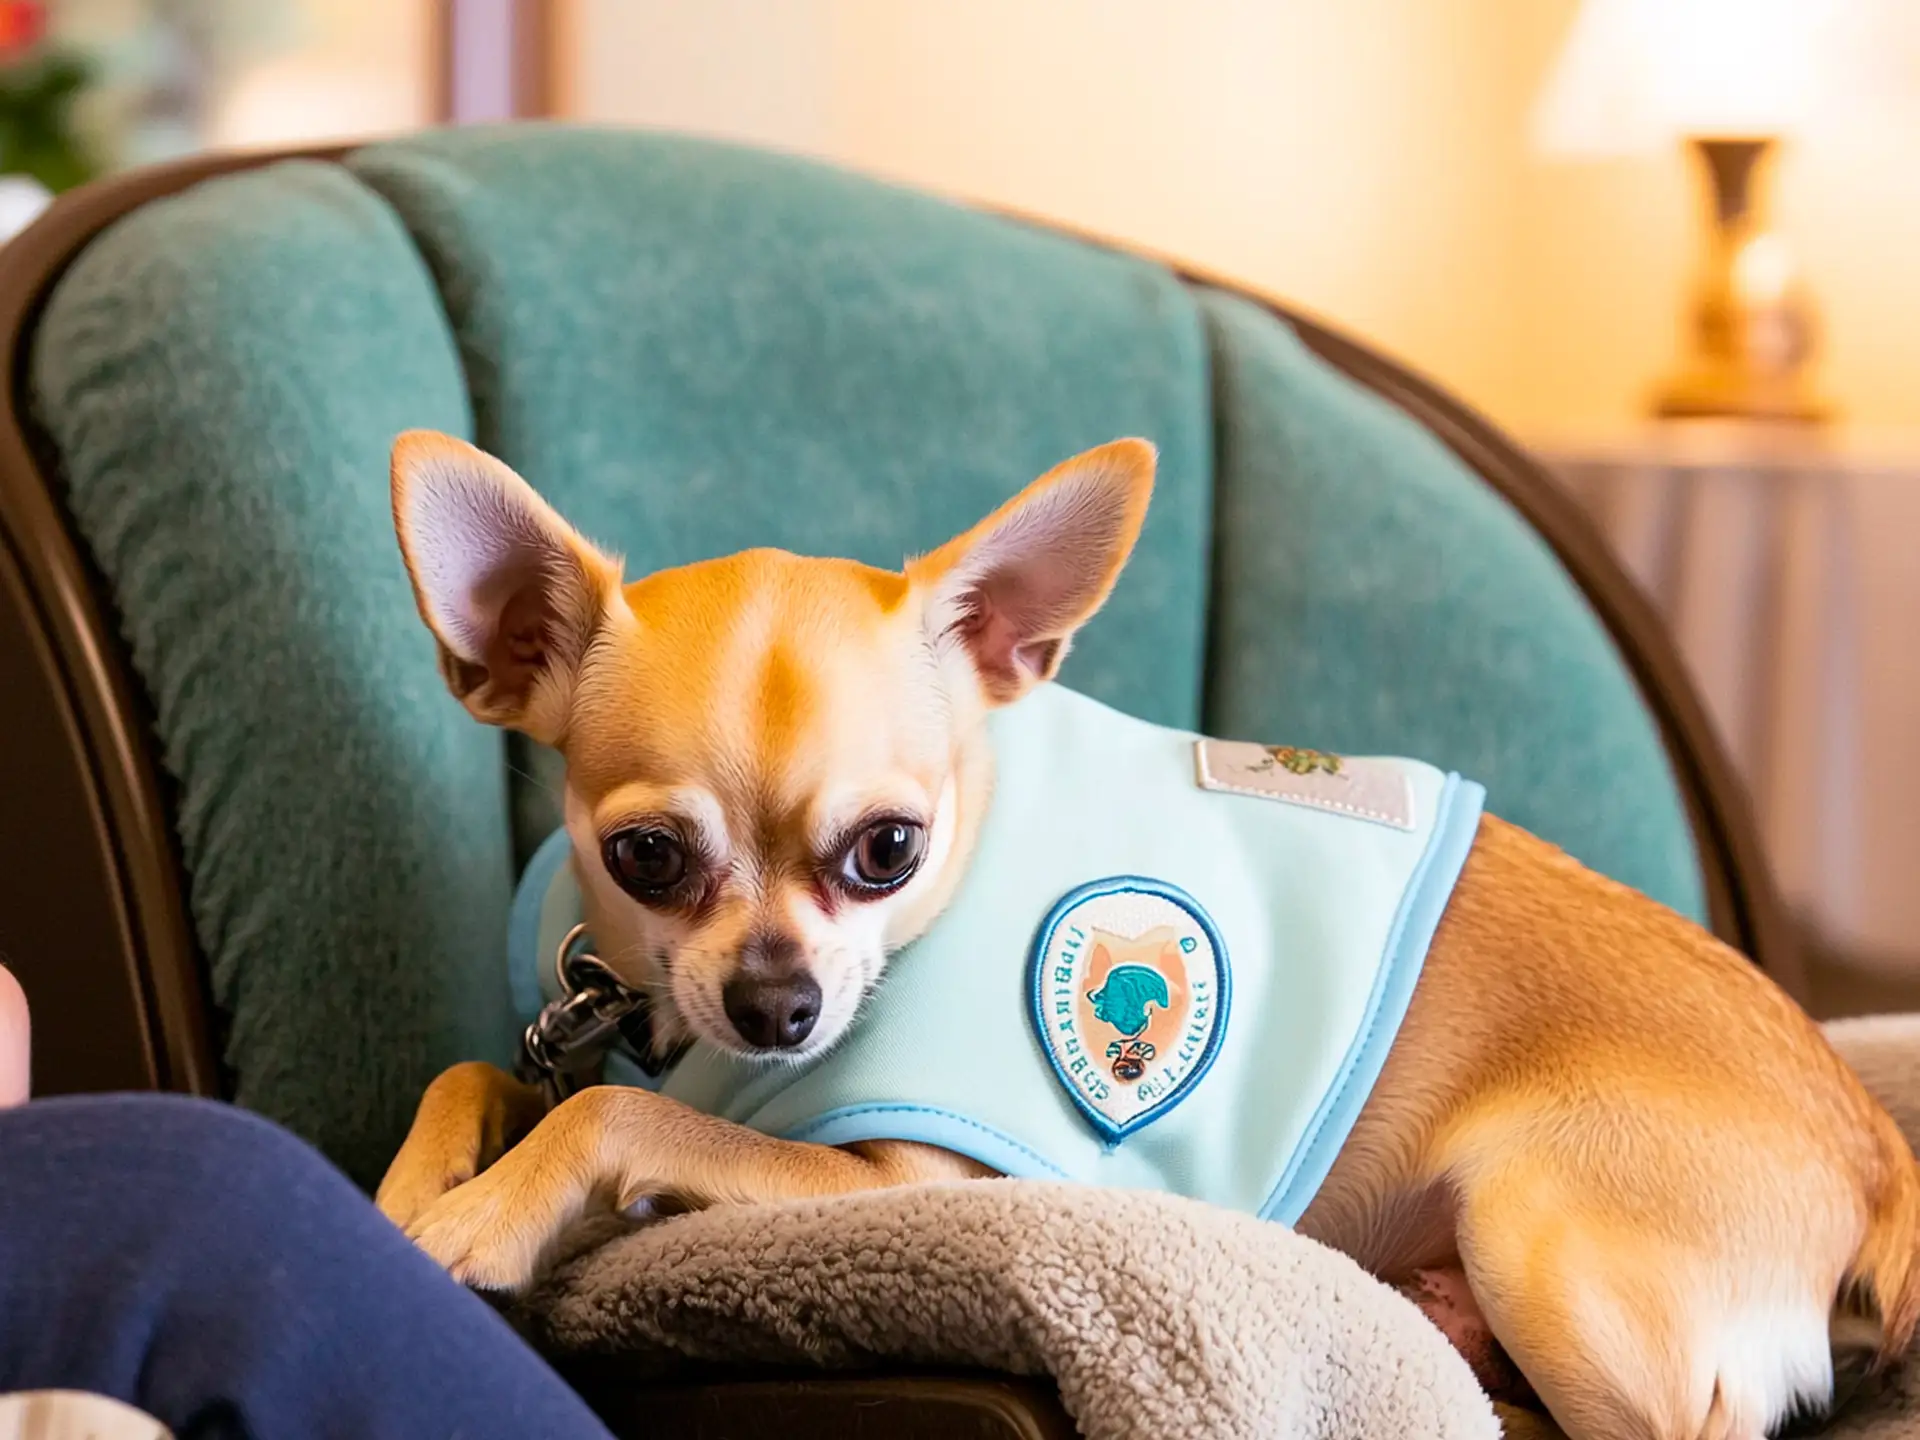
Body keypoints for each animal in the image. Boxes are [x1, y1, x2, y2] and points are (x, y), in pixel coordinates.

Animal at [378, 432, 1920, 1440]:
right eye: (646, 857)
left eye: (889, 852)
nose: (779, 1007)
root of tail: (1870, 1148)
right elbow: (479, 1071)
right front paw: (412, 1187)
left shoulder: (904, 1177)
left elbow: (625, 1120)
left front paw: (482, 1220)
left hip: (1540, 1237)